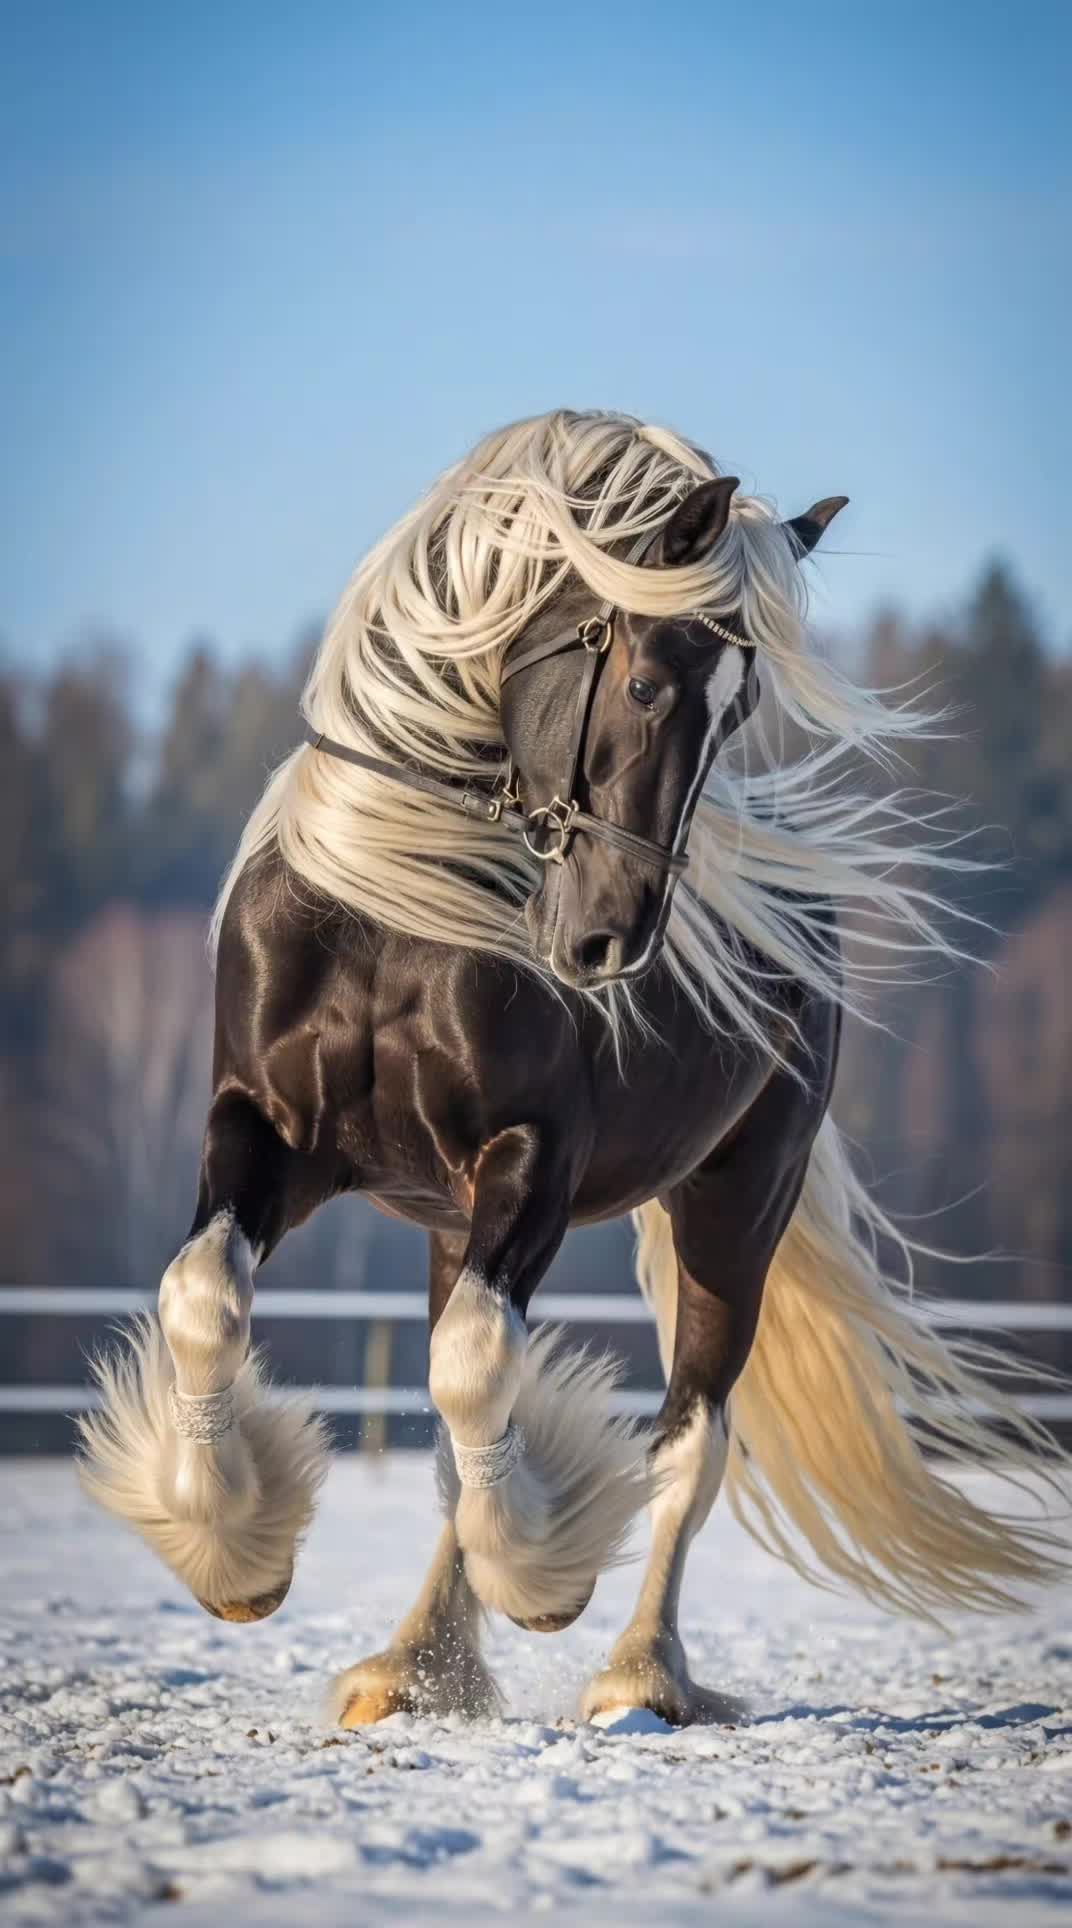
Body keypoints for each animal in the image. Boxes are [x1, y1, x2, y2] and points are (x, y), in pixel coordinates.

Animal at [79, 410, 1067, 1728]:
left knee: (688, 1438)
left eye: (736, 713)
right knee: (460, 1414)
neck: (393, 912)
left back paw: (636, 1673)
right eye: (645, 681)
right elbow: (205, 1296)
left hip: (734, 1203)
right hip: (453, 1220)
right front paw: (237, 1557)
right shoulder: (266, 1130)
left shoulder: (532, 1160)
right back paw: (411, 1666)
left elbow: (481, 1368)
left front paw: (542, 1583)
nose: (611, 940)